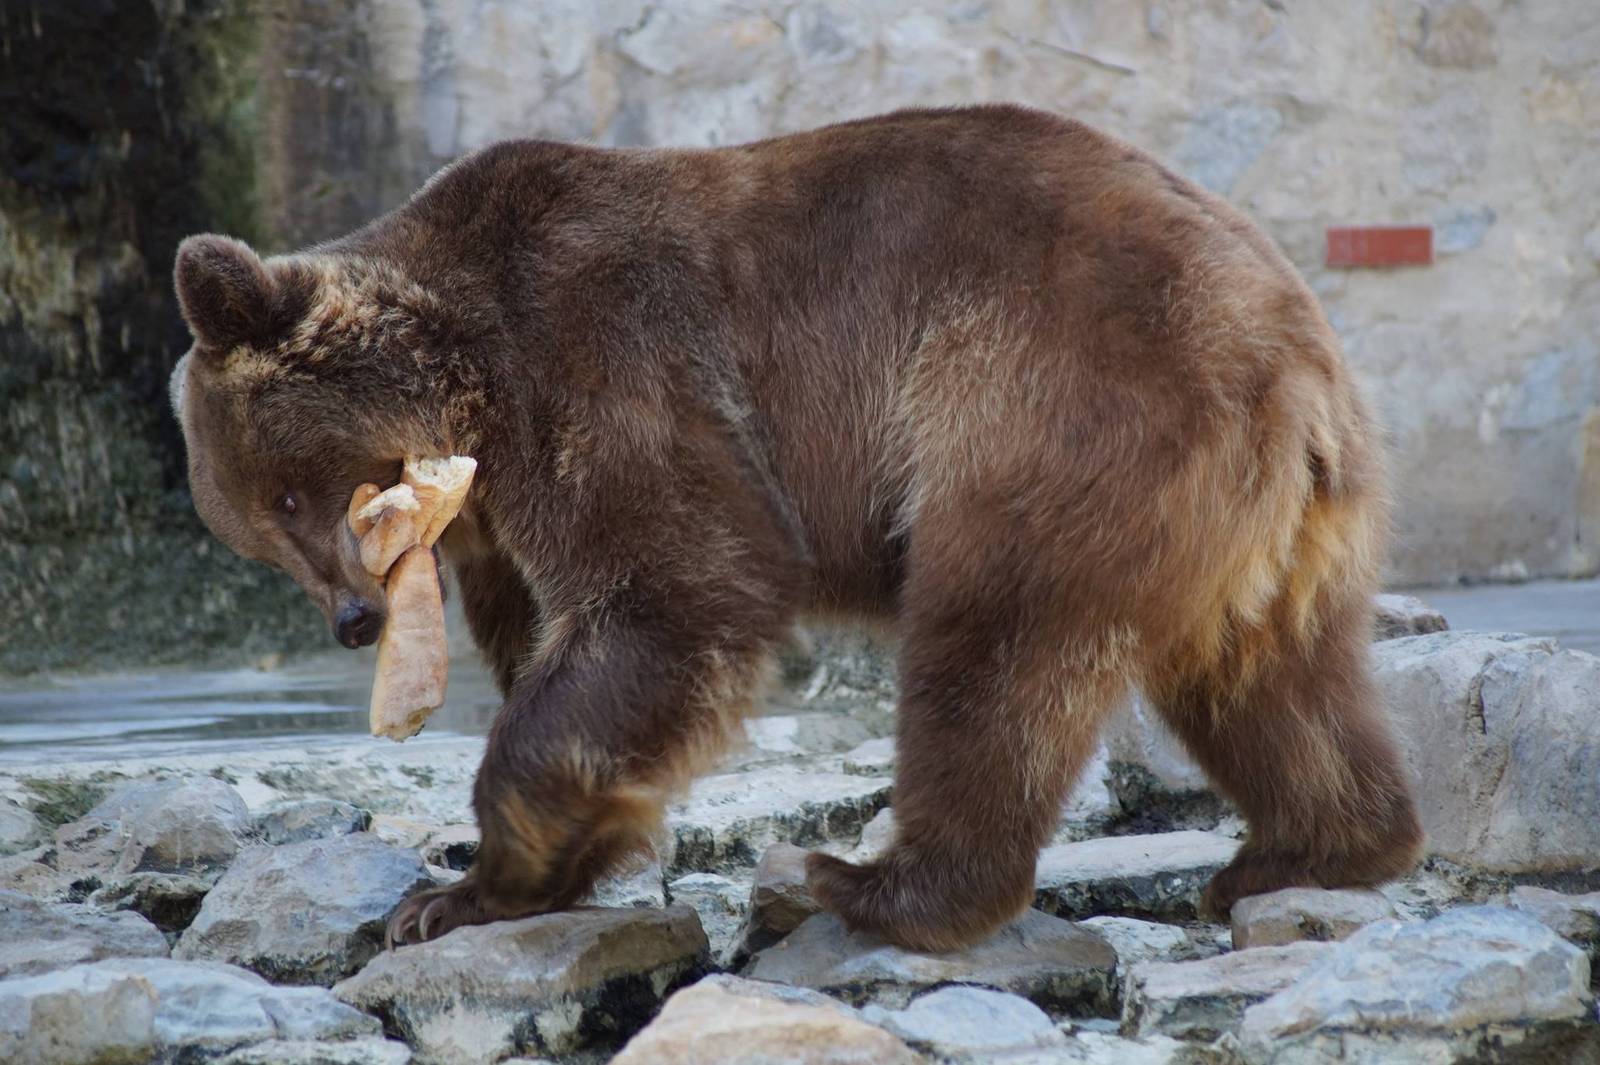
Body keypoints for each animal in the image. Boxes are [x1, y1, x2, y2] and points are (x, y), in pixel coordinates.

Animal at [170, 104, 1423, 952]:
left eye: (290, 495)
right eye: (261, 533)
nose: (350, 617)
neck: (471, 386)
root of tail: (1295, 364)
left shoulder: (605, 360)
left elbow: (677, 595)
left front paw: (467, 878)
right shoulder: (506, 532)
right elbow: (572, 658)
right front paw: (517, 876)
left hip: (1047, 405)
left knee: (995, 646)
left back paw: (878, 884)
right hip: (1276, 527)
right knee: (1271, 677)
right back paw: (1307, 851)